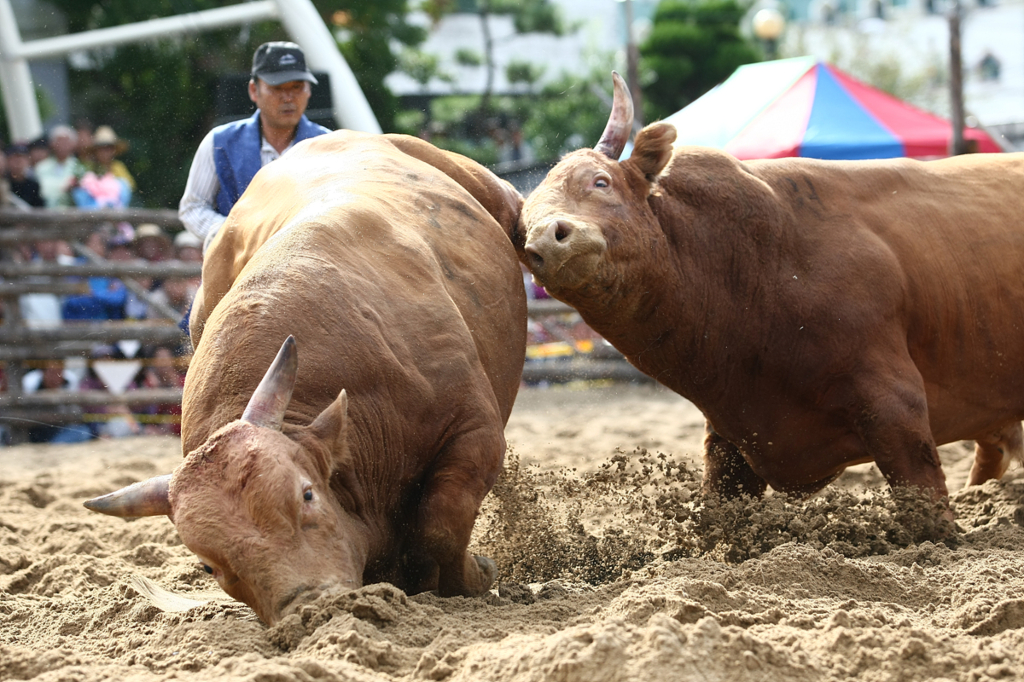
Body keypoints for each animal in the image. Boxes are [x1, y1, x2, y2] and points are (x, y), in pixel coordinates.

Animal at [83, 130, 524, 622]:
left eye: (307, 494)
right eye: (209, 564)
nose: (311, 607)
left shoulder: (475, 432)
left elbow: (440, 526)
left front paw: (476, 575)